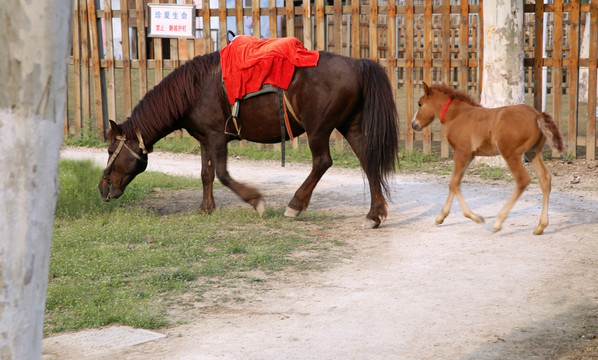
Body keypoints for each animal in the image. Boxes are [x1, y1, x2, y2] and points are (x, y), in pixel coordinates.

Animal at [98, 51, 400, 228]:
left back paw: (295, 205)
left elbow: (222, 174)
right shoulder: (205, 139)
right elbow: (206, 174)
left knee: (322, 162)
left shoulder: (217, 138)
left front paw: (255, 201)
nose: (102, 188)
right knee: (369, 162)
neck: (194, 90)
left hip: (319, 130)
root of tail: (356, 63)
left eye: (111, 150)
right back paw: (374, 215)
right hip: (351, 127)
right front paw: (206, 208)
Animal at [414, 82, 564, 235]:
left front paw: (474, 217)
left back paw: (498, 222)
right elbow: (454, 183)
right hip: (532, 153)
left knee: (523, 179)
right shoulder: (469, 155)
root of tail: (537, 114)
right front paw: (441, 217)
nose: (414, 124)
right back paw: (540, 226)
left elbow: (454, 183)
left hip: (511, 154)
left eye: (420, 104)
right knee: (545, 178)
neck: (458, 115)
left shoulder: (462, 152)